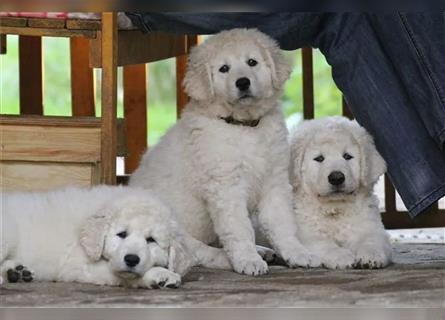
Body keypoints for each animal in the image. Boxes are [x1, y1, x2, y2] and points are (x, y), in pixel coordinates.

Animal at [0, 185, 229, 288]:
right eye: (121, 234)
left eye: (151, 240)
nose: (131, 259)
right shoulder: (78, 266)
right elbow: (125, 276)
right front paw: (159, 274)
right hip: (8, 234)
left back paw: (16, 272)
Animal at [128, 28, 320, 276]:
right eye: (224, 69)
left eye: (252, 62)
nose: (243, 82)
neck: (244, 127)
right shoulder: (226, 187)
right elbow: (239, 229)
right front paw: (248, 259)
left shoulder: (274, 182)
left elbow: (282, 223)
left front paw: (298, 253)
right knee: (198, 253)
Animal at [290, 116, 390, 268]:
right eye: (319, 158)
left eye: (347, 156)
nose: (336, 178)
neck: (335, 209)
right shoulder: (307, 234)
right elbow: (324, 244)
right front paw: (342, 257)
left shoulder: (372, 226)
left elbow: (371, 239)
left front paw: (371, 255)